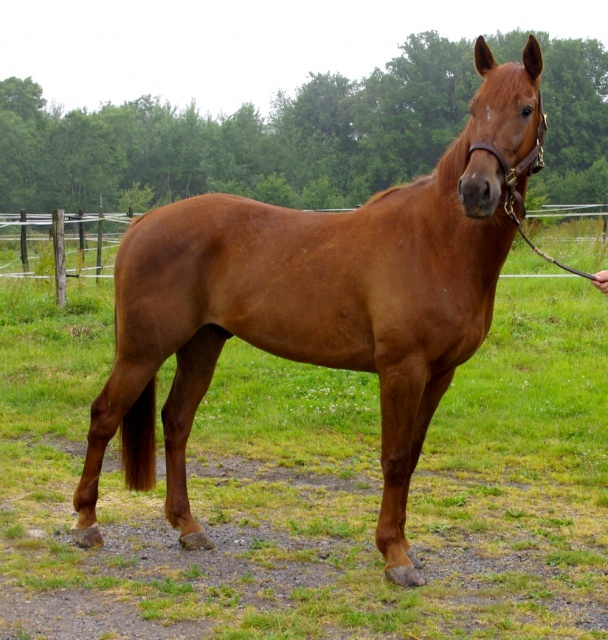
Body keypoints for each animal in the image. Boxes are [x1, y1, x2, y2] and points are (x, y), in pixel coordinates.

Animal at [71, 33, 548, 584]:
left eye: (525, 108)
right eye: (474, 108)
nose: (475, 191)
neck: (436, 240)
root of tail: (143, 222)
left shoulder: (439, 374)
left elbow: (412, 458)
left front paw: (403, 547)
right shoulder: (401, 370)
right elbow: (394, 457)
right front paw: (395, 555)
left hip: (201, 344)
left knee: (176, 421)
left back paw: (188, 527)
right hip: (142, 349)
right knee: (105, 415)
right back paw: (86, 523)